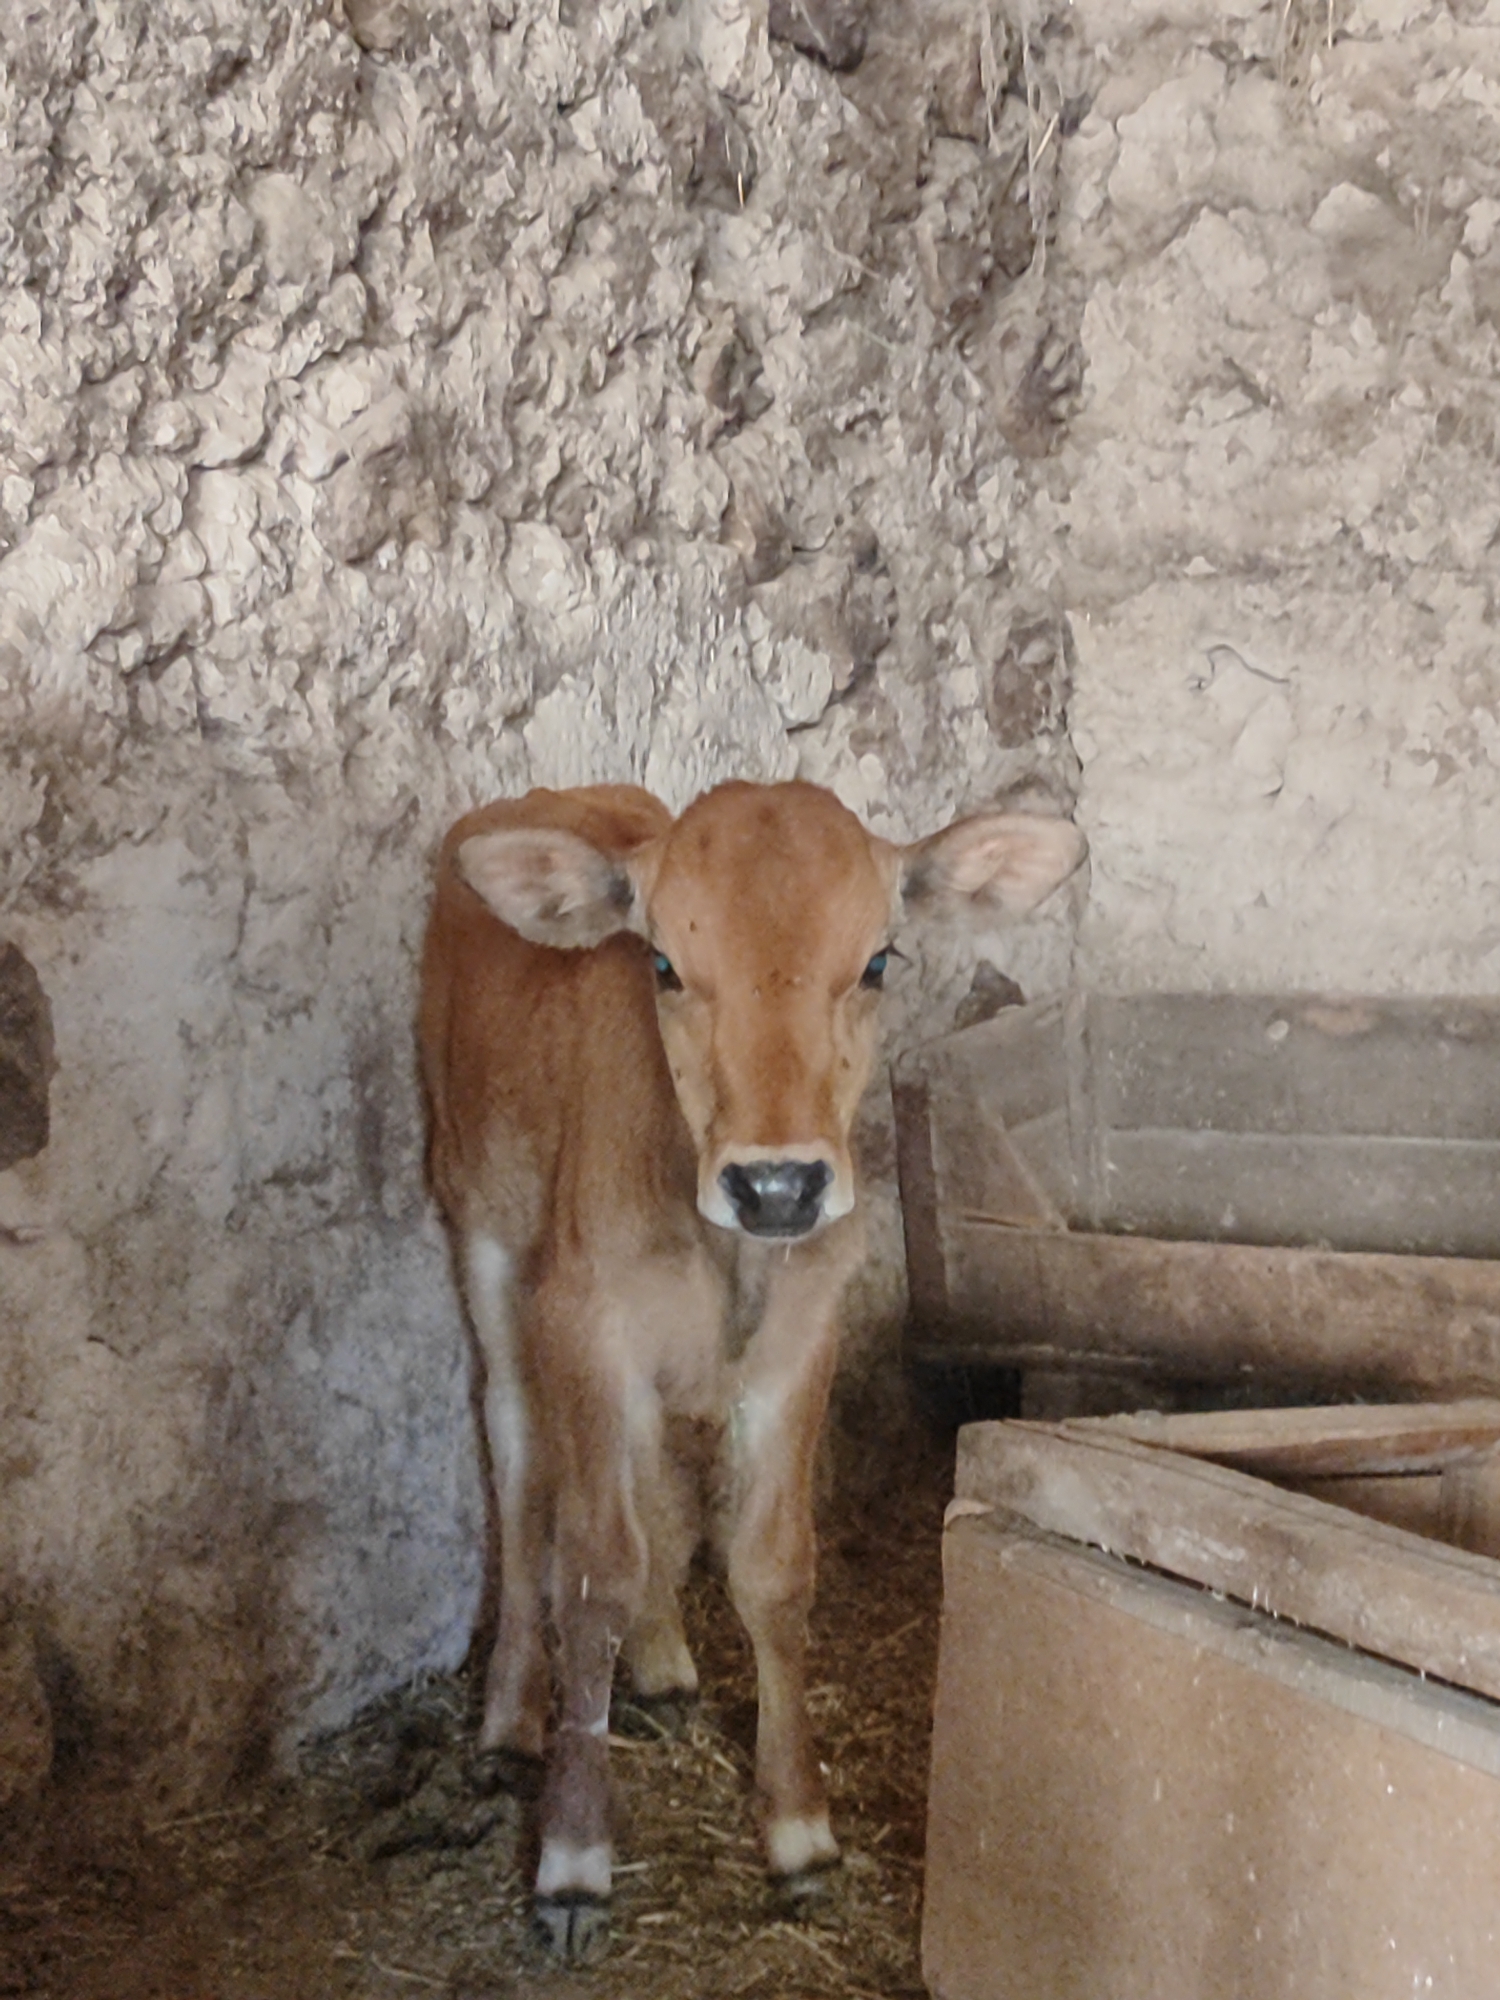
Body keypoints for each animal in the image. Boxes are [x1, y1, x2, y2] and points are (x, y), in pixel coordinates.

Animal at [418, 777, 1085, 1962]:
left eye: (877, 960)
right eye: (664, 963)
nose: (778, 1184)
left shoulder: (798, 1340)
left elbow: (770, 1567)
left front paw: (799, 1830)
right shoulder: (583, 1318)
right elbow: (589, 1567)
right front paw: (573, 1857)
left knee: (646, 1483)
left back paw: (664, 1661)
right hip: (484, 1233)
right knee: (521, 1462)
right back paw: (511, 1719)